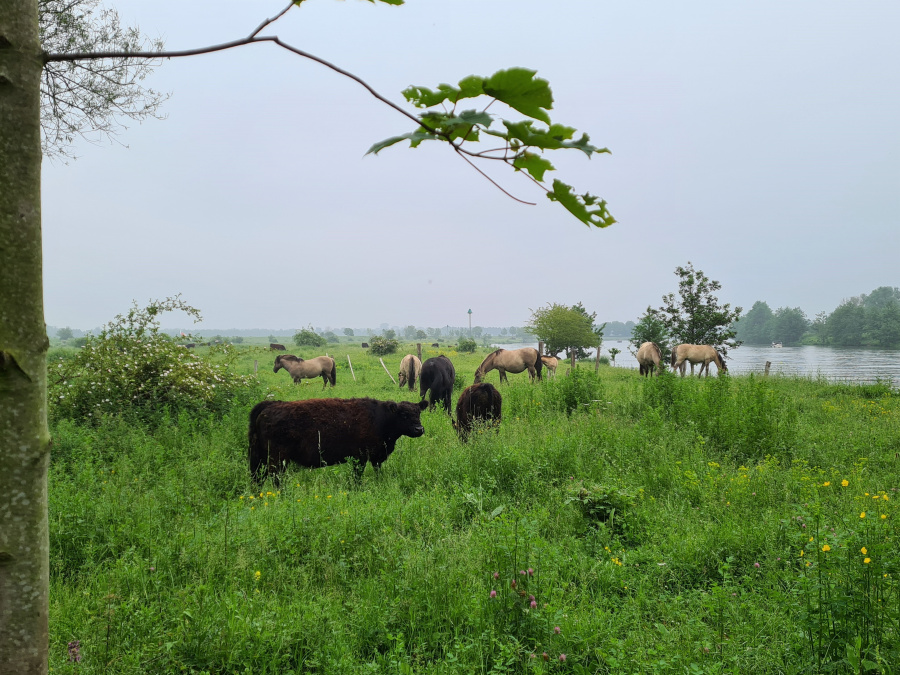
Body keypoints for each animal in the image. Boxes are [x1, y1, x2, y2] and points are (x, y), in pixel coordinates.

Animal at [246, 396, 428, 480]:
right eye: (403, 415)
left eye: (418, 412)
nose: (419, 429)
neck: (380, 419)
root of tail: (270, 405)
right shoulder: (360, 457)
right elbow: (357, 476)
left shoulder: (375, 457)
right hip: (277, 460)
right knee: (276, 479)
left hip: (260, 458)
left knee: (257, 479)